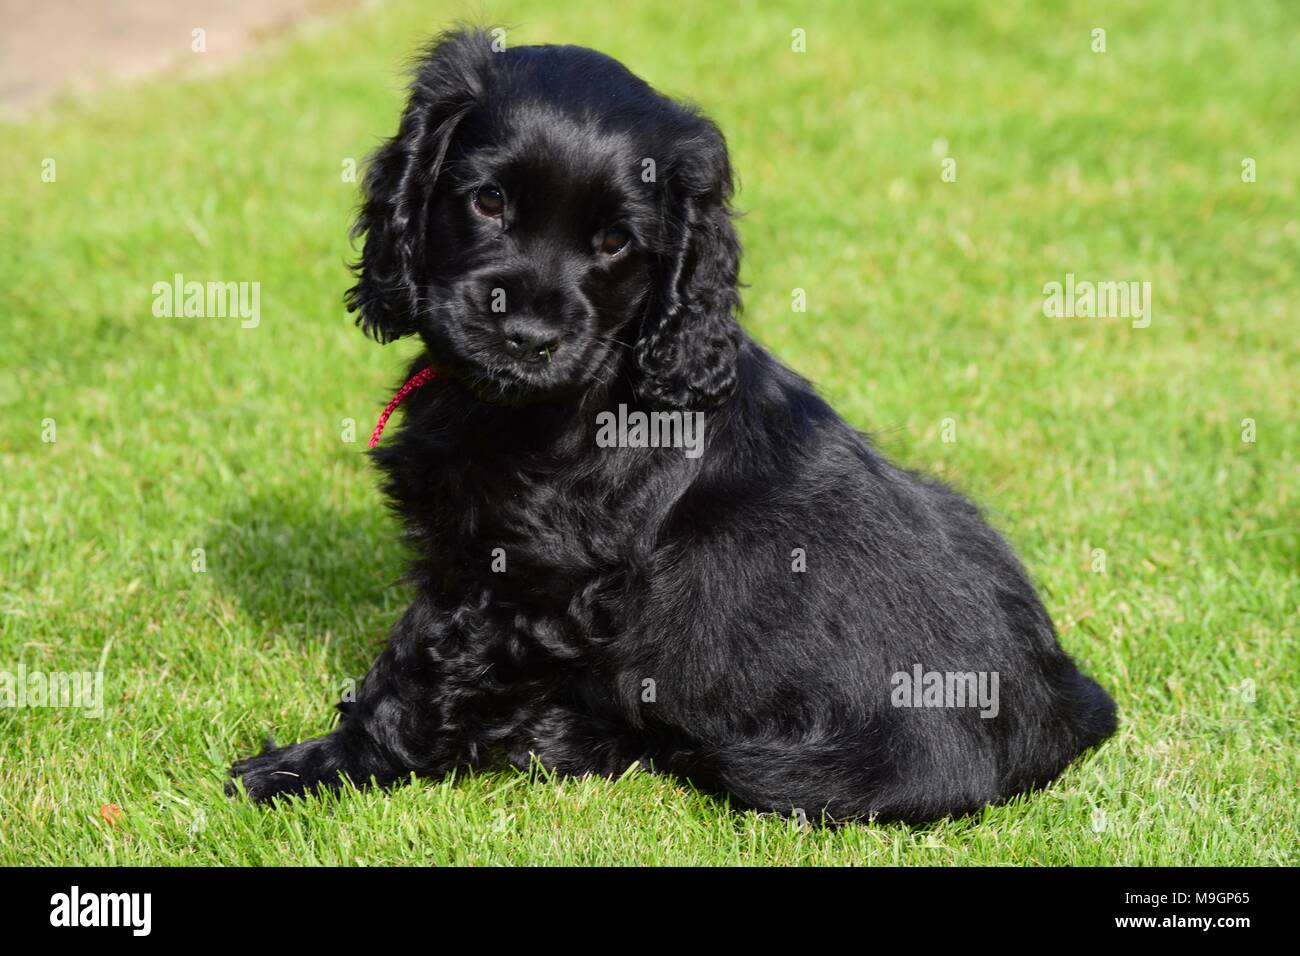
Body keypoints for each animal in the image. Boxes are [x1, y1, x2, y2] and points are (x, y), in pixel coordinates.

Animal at [231, 29, 1118, 822]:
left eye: (615, 241)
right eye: (488, 201)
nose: (528, 337)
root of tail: (1067, 712)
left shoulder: (522, 583)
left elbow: (413, 679)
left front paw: (303, 770)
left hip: (804, 767)